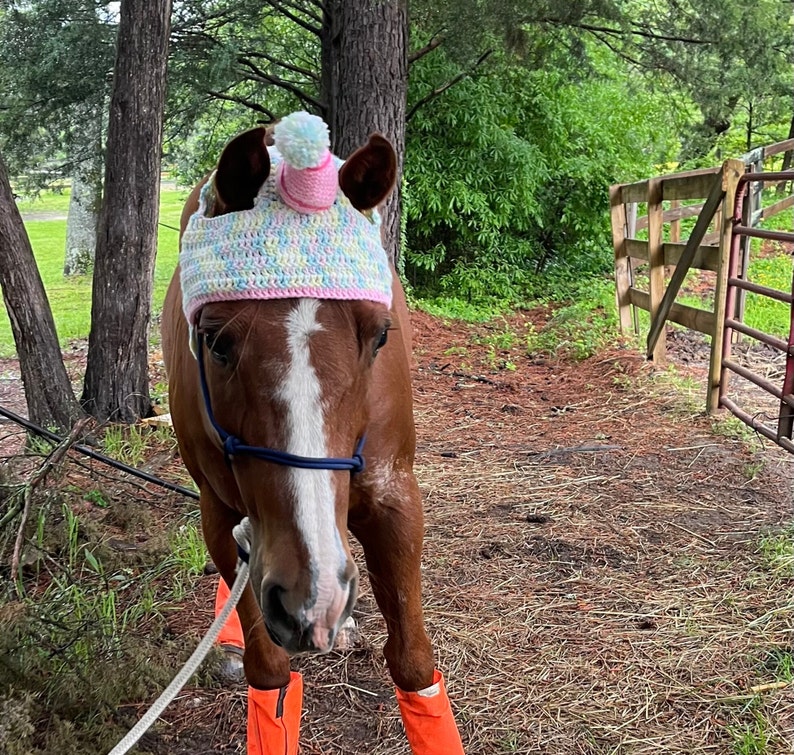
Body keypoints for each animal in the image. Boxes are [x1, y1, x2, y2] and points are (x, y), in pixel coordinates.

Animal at [161, 113, 460, 755]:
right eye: (216, 341)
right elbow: (269, 673)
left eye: (379, 336)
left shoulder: (395, 499)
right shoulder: (219, 514)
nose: (312, 594)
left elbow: (414, 665)